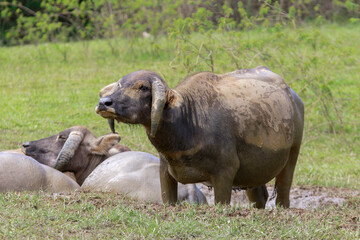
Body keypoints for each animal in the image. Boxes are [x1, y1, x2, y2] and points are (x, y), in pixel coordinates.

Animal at [95, 65, 304, 208]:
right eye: (120, 84)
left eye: (143, 87)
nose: (104, 103)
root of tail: (293, 97)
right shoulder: (165, 173)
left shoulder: (225, 173)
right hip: (254, 174)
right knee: (260, 197)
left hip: (291, 157)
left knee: (283, 194)